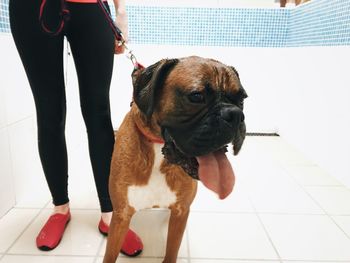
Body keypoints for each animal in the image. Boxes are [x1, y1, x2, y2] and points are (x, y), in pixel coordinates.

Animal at [102, 56, 247, 263]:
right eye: (196, 96)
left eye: (241, 99)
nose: (235, 114)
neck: (158, 151)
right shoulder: (121, 215)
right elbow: (110, 254)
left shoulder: (180, 212)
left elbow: (172, 249)